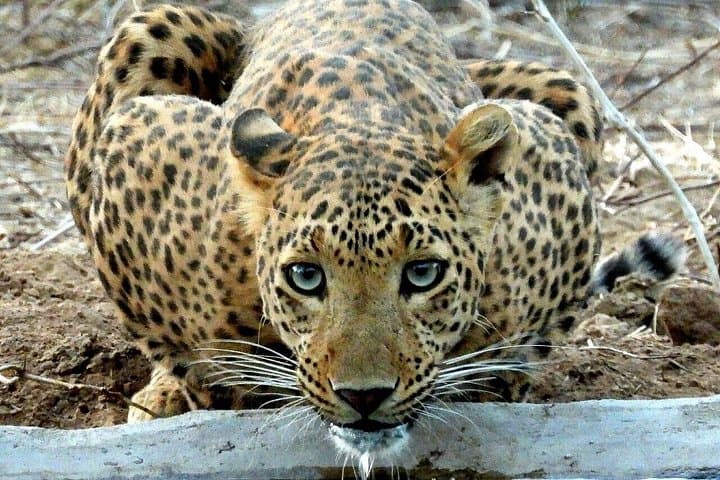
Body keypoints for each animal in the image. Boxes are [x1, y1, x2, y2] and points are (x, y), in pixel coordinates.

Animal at [64, 0, 679, 460]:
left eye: (423, 273)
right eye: (306, 277)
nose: (365, 397)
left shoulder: (551, 163)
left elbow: (517, 354)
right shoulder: (139, 141)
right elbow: (189, 356)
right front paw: (198, 387)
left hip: (563, 86)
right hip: (150, 30)